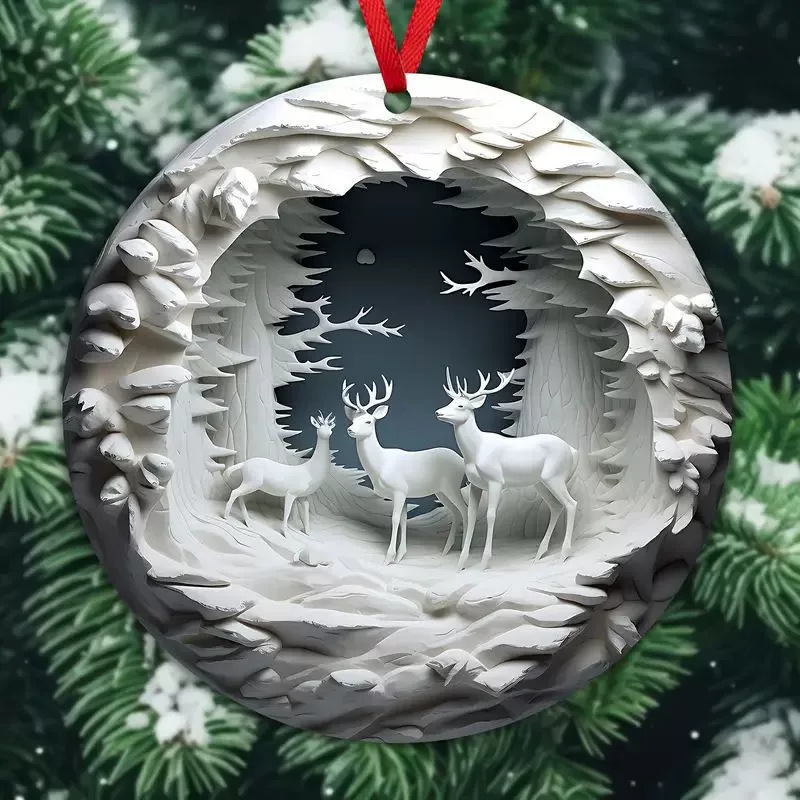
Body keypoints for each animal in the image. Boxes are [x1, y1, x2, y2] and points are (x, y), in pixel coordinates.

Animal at [342, 377, 468, 565]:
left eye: (368, 421)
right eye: (352, 421)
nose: (350, 430)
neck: (380, 466)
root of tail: (462, 461)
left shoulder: (399, 490)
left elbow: (395, 520)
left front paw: (389, 557)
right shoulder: (403, 494)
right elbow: (403, 520)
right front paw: (401, 555)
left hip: (452, 485)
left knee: (465, 510)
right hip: (440, 491)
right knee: (456, 513)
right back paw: (446, 550)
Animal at [436, 370, 579, 571]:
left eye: (461, 405)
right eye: (450, 402)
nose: (438, 412)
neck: (476, 452)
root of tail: (572, 451)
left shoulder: (496, 480)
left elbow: (490, 515)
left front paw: (485, 561)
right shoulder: (475, 484)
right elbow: (471, 515)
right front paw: (461, 562)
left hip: (555, 476)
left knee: (571, 504)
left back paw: (564, 554)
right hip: (540, 482)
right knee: (556, 506)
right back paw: (539, 553)